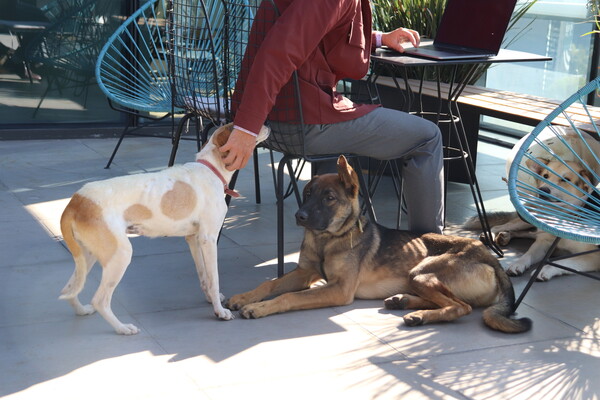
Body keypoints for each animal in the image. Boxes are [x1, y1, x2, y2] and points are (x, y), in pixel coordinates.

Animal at [59, 124, 270, 334]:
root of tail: (76, 201)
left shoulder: (193, 238)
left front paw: (211, 298)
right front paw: (219, 311)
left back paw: (82, 310)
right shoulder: (208, 239)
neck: (211, 170)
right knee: (100, 300)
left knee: (68, 289)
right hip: (119, 254)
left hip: (88, 255)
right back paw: (122, 328)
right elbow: (214, 277)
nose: (267, 125)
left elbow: (204, 276)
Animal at [227, 155, 532, 332]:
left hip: (422, 271)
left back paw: (419, 314)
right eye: (308, 193)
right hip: (417, 277)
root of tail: (492, 259)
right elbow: (269, 285)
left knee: (462, 307)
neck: (329, 239)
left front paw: (259, 308)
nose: (299, 216)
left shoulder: (339, 290)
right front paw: (244, 297)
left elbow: (288, 297)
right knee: (454, 301)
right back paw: (404, 302)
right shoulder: (304, 272)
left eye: (329, 198)